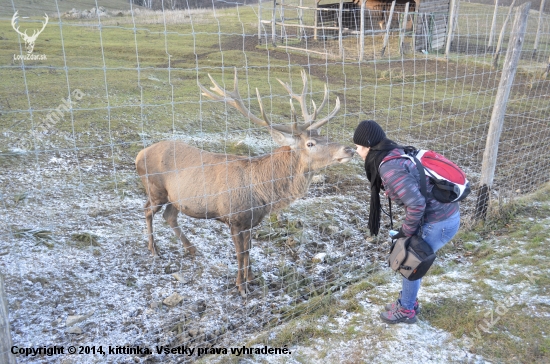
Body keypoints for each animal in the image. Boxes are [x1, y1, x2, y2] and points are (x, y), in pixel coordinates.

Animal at [136, 68, 356, 296]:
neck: (262, 191)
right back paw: (154, 250)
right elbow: (240, 253)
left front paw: (252, 278)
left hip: (175, 197)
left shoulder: (252, 221)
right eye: (310, 143)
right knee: (147, 210)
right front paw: (241, 286)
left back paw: (192, 249)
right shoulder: (234, 218)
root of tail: (139, 154)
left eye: (323, 136)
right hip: (155, 188)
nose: (350, 149)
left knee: (169, 216)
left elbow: (249, 250)